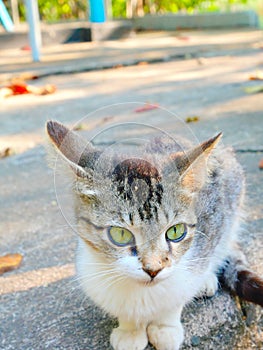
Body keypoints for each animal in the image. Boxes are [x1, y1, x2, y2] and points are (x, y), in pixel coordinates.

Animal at [46, 121, 262, 350]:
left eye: (175, 231)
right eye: (120, 234)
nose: (153, 269)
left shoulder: (213, 223)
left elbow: (179, 292)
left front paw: (165, 327)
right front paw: (130, 329)